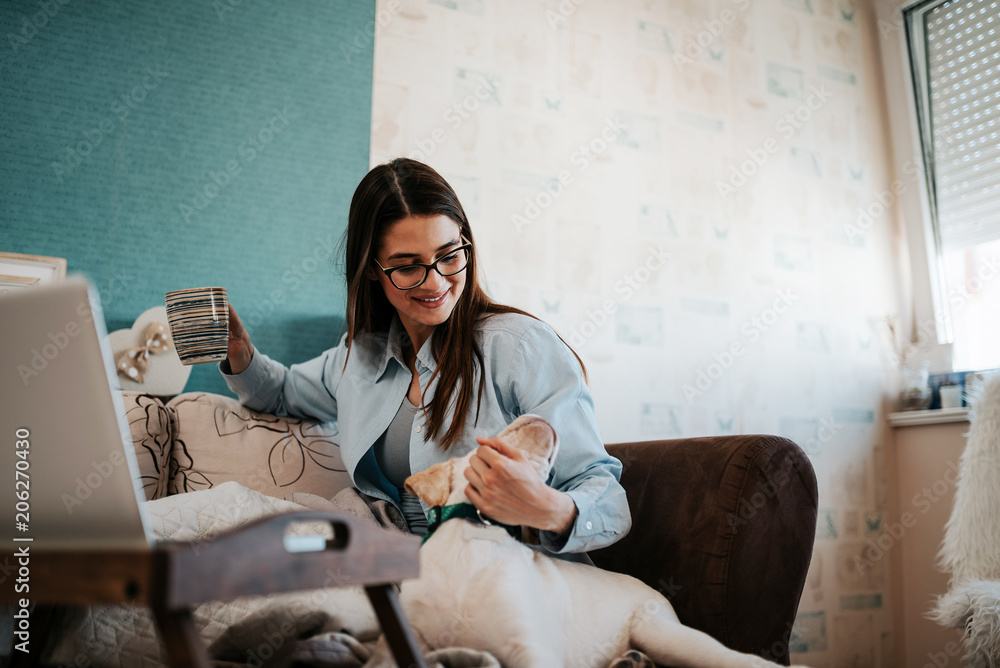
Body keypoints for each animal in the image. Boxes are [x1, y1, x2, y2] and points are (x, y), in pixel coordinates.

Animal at [386, 414, 808, 664]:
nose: (542, 415)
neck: (473, 531)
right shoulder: (414, 642)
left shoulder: (531, 648)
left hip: (661, 632)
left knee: (739, 660)